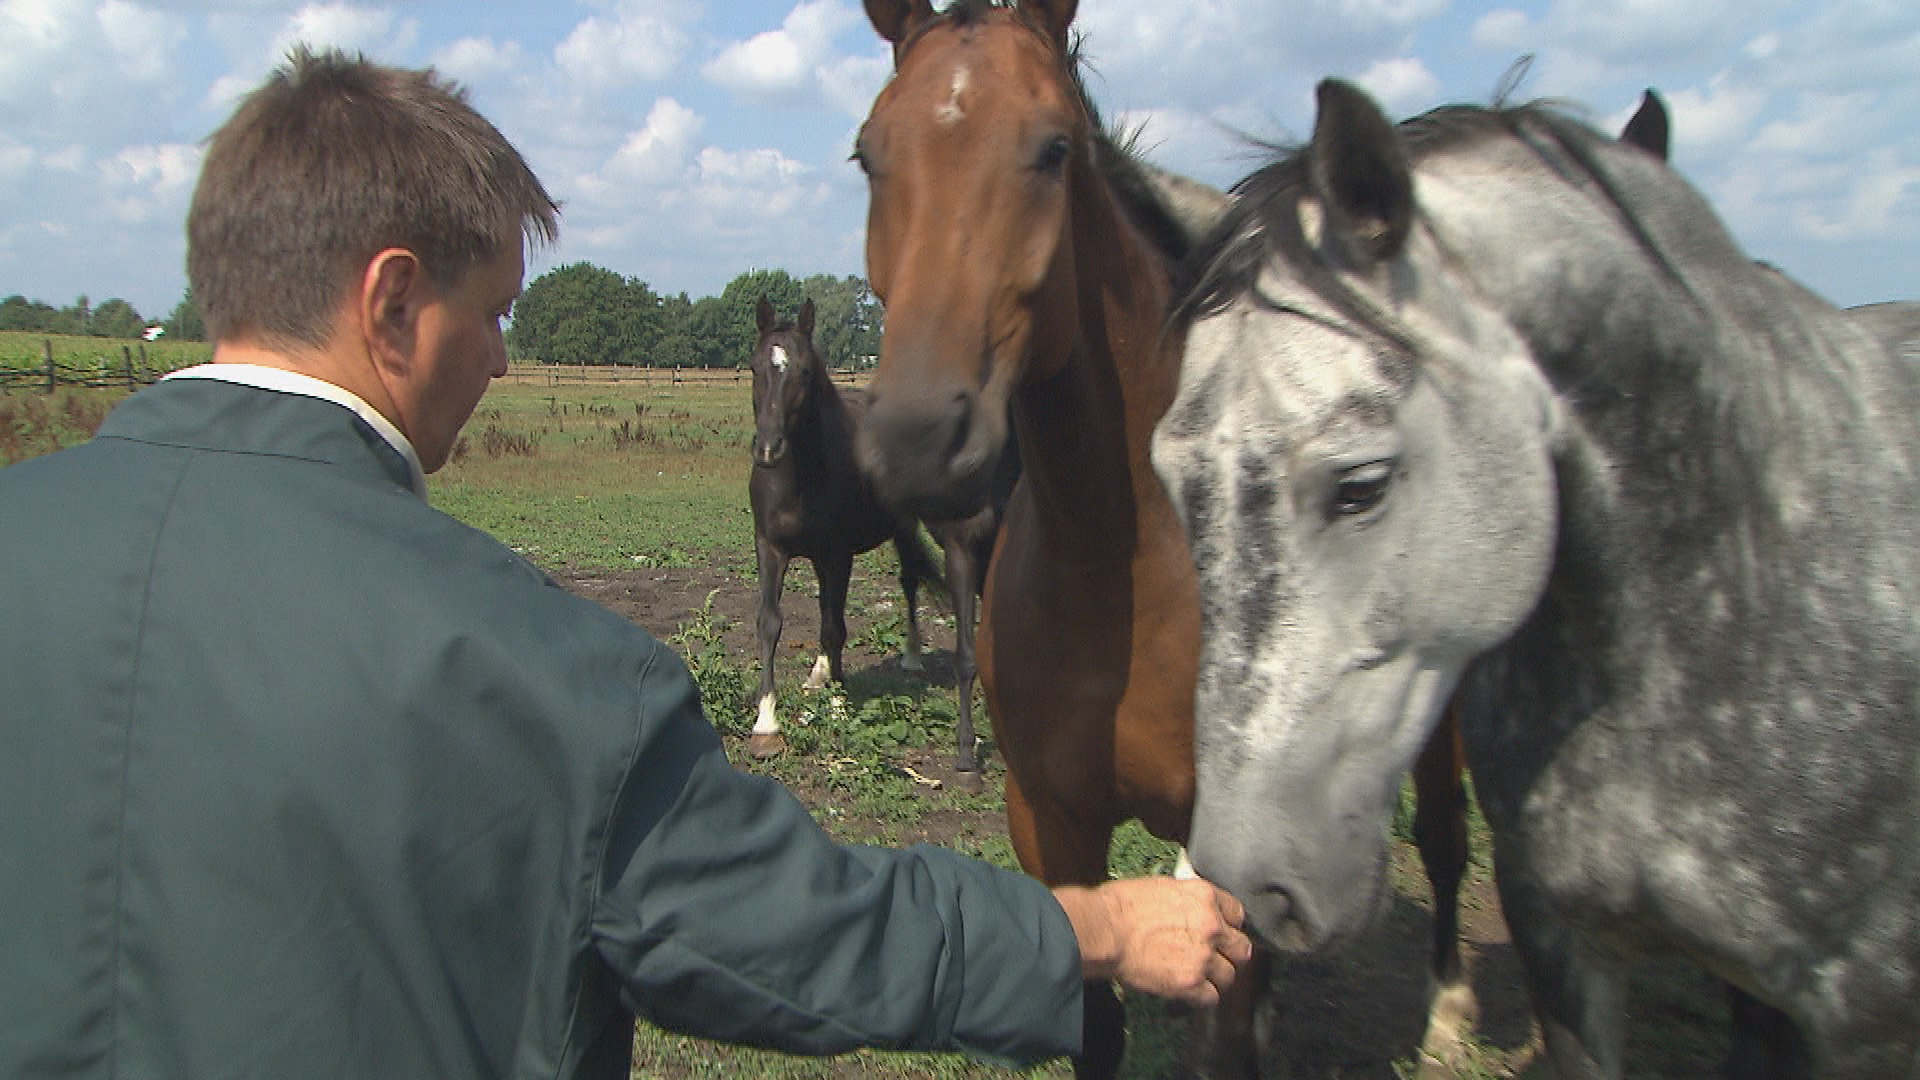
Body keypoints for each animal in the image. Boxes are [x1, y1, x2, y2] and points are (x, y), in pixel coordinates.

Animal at [744, 297, 1006, 776]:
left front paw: (837, 705)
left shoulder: (837, 554)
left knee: (907, 581)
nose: (769, 449)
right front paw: (767, 724)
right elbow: (770, 622)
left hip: (902, 528)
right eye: (755, 366)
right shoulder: (770, 549)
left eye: (804, 371)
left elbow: (834, 627)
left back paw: (911, 656)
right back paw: (820, 675)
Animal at [852, 4, 1466, 1068]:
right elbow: (1097, 1019)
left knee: (1447, 840)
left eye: (1054, 148)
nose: (920, 437)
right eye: (868, 154)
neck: (1124, 564)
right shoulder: (1051, 821)